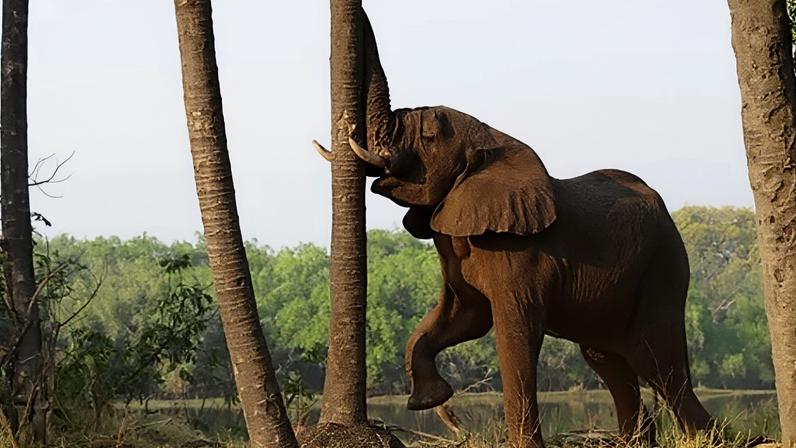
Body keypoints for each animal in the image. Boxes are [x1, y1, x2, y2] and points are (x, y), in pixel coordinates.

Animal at [316, 11, 715, 447]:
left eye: (429, 137)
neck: (492, 141)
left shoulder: (519, 253)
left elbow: (513, 331)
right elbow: (458, 318)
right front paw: (430, 399)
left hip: (664, 265)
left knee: (655, 359)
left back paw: (706, 436)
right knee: (607, 358)